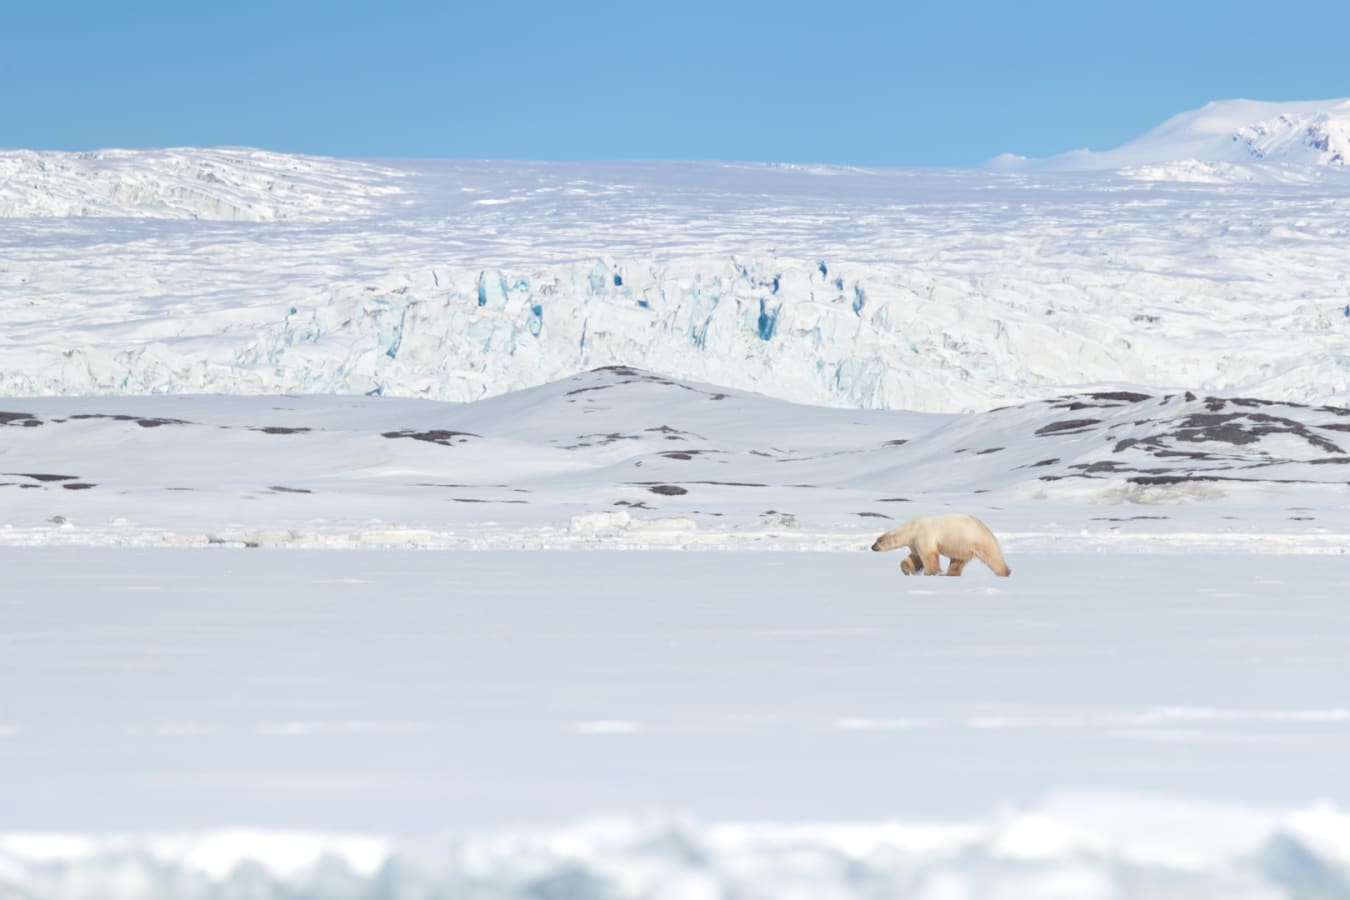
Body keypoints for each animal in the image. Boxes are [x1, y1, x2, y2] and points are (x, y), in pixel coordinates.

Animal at [870, 514, 1011, 577]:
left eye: (878, 541)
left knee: (993, 556)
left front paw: (931, 572)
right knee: (958, 561)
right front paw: (907, 570)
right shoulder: (914, 542)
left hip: (977, 539)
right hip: (962, 547)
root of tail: (985, 527)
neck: (912, 529)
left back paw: (1005, 572)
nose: (872, 547)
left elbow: (928, 555)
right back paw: (950, 574)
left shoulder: (924, 535)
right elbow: (915, 558)